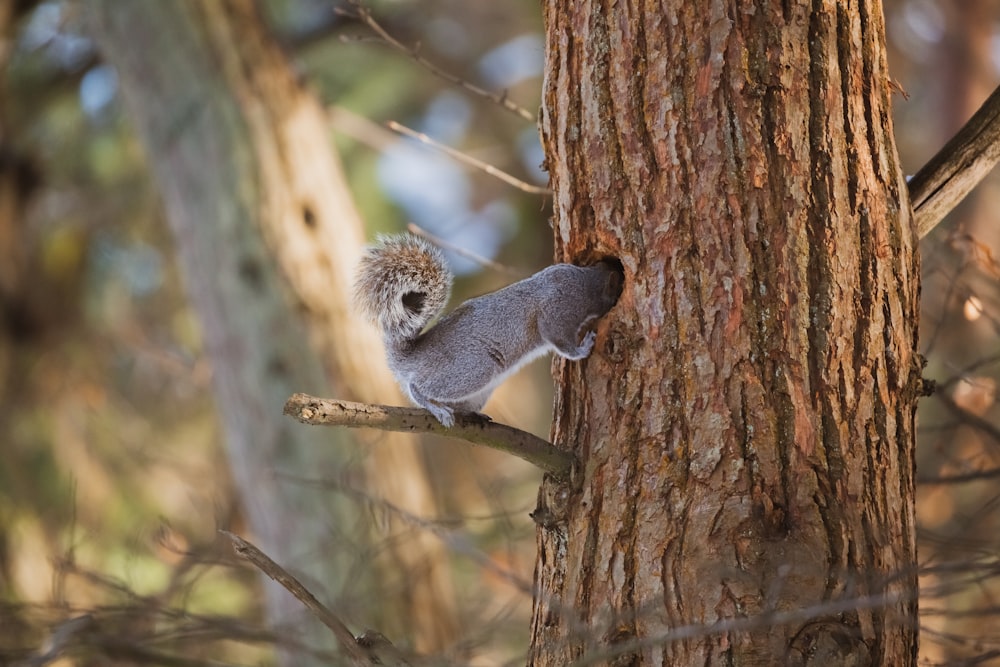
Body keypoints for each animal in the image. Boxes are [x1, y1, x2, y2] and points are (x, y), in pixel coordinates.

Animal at [356, 232, 620, 426]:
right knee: (418, 387)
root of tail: (410, 358)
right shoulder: (558, 312)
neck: (586, 282)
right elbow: (559, 340)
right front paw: (583, 348)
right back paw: (437, 409)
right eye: (616, 287)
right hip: (474, 368)